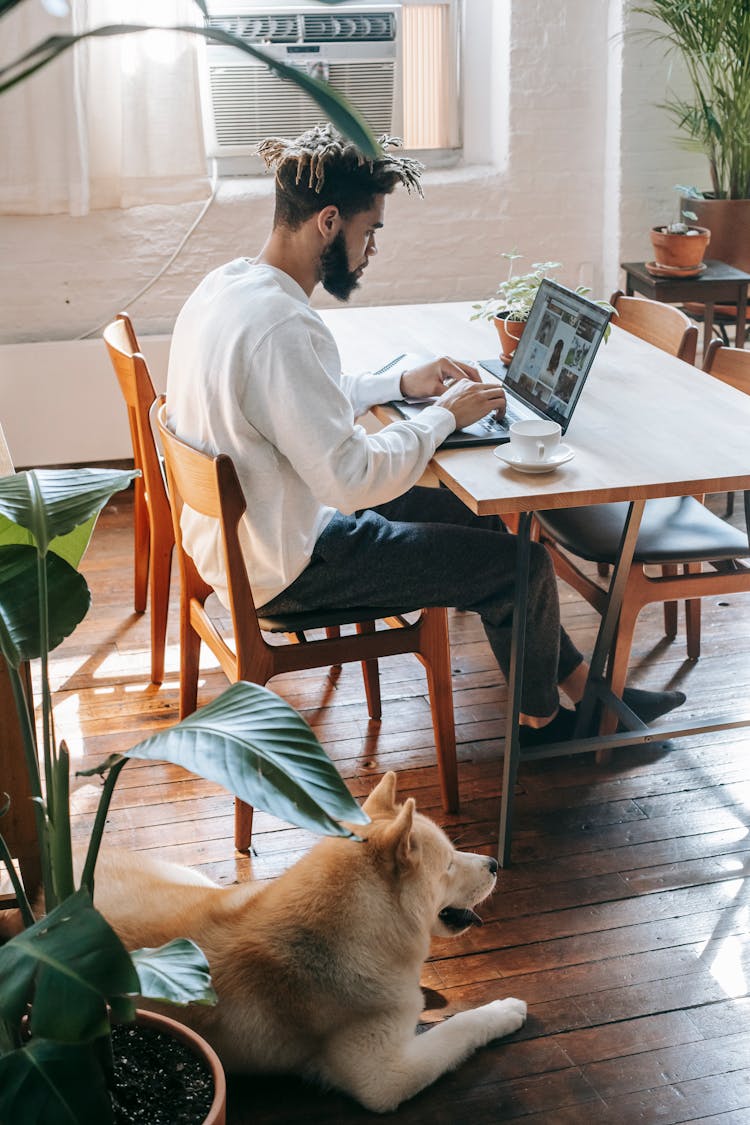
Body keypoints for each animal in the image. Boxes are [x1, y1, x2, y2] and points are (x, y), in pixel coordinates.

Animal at [92, 774, 528, 1107]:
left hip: (197, 885)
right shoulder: (384, 1077)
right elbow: (461, 1026)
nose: (494, 863)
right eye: (450, 864)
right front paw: (504, 1010)